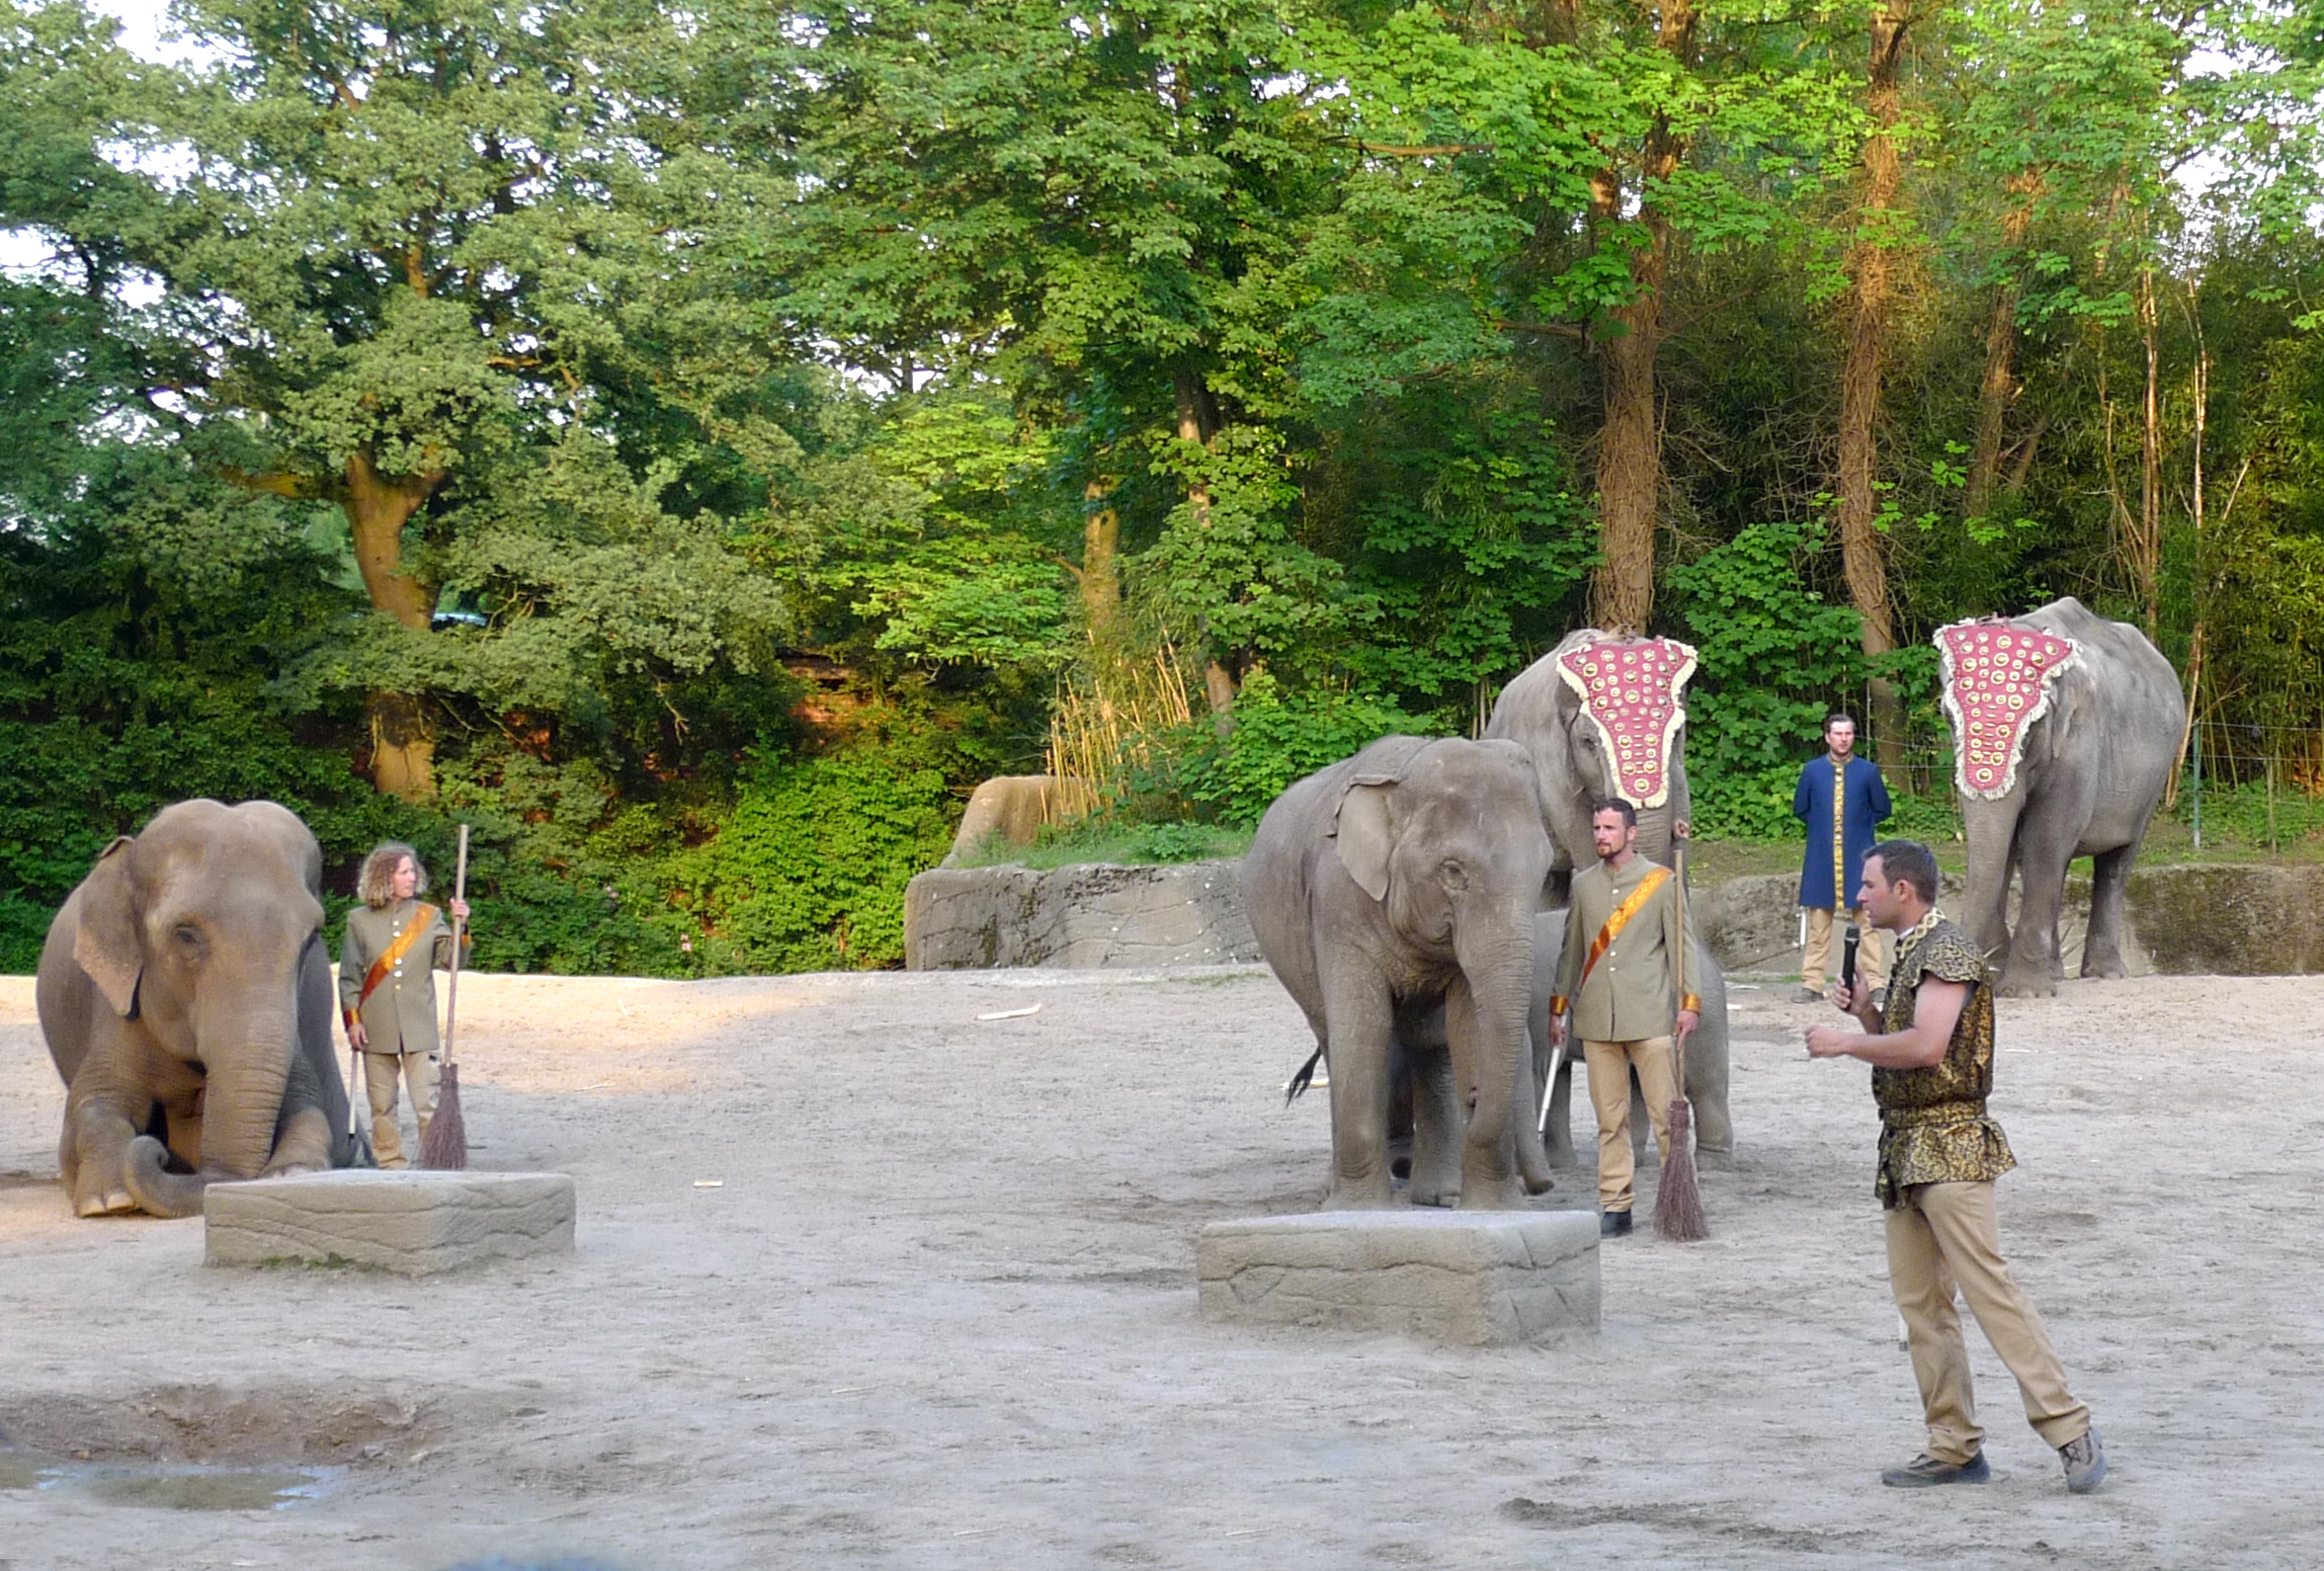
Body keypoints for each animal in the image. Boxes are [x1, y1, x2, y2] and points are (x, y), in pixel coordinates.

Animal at [33, 799, 367, 1217]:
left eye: (311, 939)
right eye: (185, 935)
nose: (159, 1153)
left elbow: (308, 1111)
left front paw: (290, 1174)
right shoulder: (116, 1003)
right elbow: (95, 1105)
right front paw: (109, 1201)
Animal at [1245, 743, 1552, 1208]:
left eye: (1545, 871)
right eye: (1452, 871)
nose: (1475, 1096)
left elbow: (1467, 1025)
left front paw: (1494, 1211)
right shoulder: (1338, 904)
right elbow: (1363, 1026)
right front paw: (1354, 1211)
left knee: (1431, 1047)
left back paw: (1439, 1196)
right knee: (1333, 1039)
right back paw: (1334, 1193)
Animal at [1943, 595, 2175, 999]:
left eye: (2031, 729)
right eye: (1949, 718)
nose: (1984, 969)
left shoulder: (2079, 744)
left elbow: (2045, 839)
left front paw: (2025, 991)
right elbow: (2010, 845)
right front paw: (2007, 976)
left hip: (2153, 783)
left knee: (2115, 864)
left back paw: (2106, 974)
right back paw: (2055, 972)